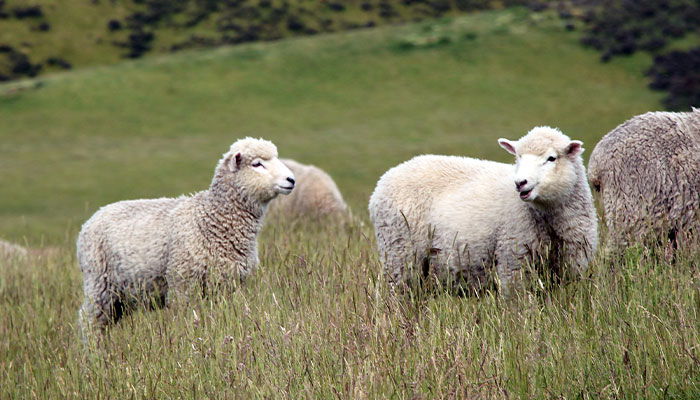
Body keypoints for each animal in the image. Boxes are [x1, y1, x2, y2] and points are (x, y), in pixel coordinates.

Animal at [77, 137, 295, 333]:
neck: (211, 219)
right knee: (90, 322)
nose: (291, 180)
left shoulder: (230, 285)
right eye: (257, 164)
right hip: (99, 284)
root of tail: (93, 217)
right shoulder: (184, 284)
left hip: (123, 294)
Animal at [369, 127, 598, 297]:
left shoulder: (568, 270)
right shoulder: (513, 262)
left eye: (551, 158)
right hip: (399, 253)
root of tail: (383, 181)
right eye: (518, 157)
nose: (520, 183)